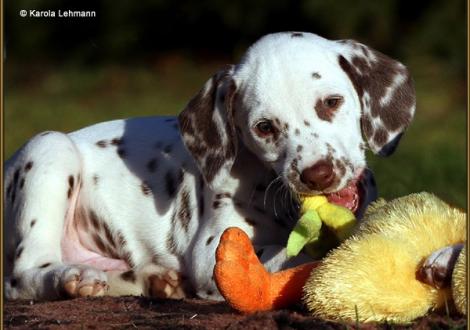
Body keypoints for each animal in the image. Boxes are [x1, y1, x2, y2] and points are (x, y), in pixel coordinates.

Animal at [2, 32, 414, 302]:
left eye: (331, 102)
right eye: (264, 127)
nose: (317, 175)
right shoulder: (212, 249)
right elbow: (288, 256)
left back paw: (155, 280)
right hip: (50, 148)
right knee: (21, 276)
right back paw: (72, 278)